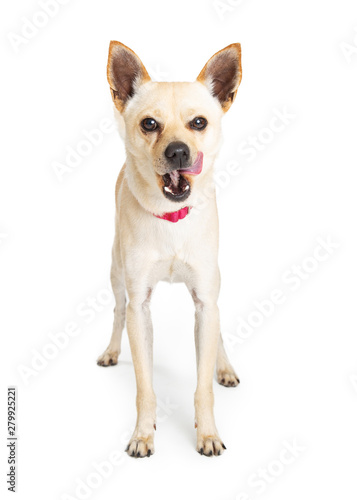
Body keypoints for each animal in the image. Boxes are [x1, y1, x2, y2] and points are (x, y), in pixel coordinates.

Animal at [97, 42, 242, 458]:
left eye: (199, 123)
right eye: (149, 124)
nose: (178, 151)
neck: (171, 219)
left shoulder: (206, 300)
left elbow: (203, 384)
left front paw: (207, 433)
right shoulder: (139, 307)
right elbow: (144, 385)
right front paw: (143, 435)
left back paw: (225, 367)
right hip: (116, 274)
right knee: (117, 311)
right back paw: (111, 351)